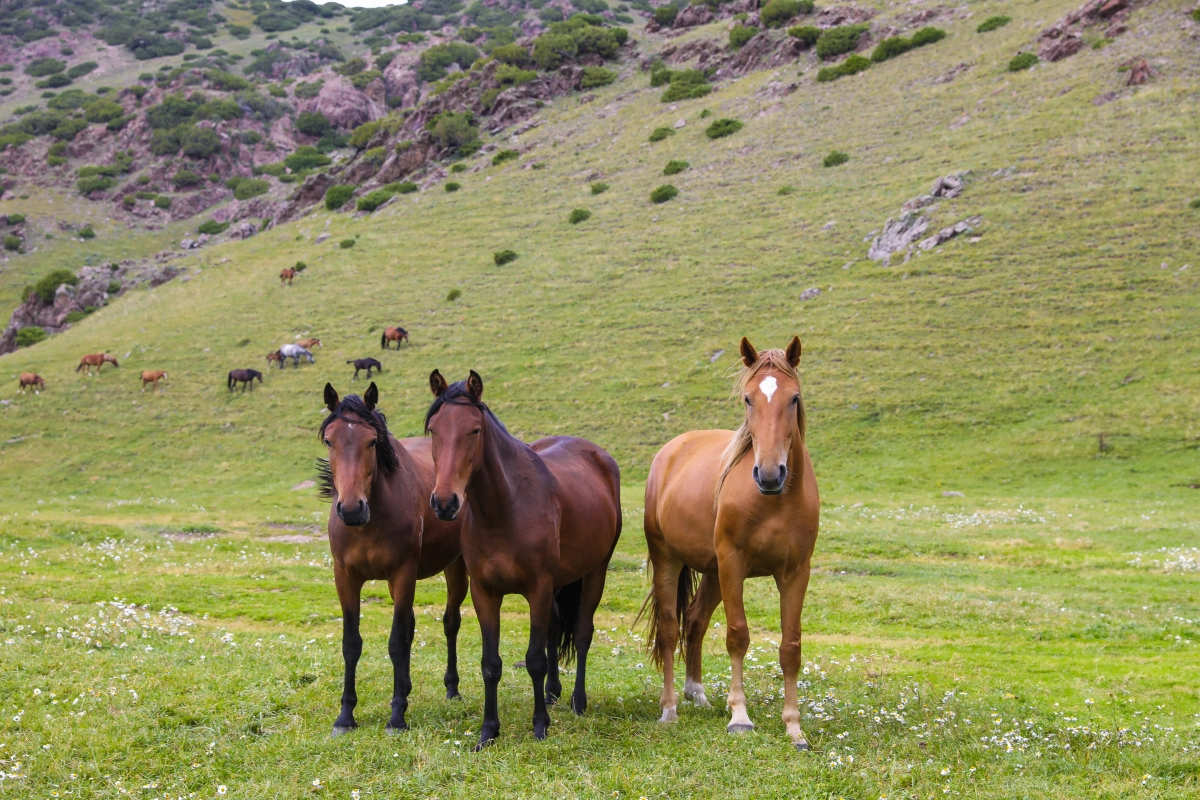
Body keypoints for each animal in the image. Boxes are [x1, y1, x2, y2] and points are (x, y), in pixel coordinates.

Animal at [319, 381, 468, 738]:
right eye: (329, 440)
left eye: (372, 441)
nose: (351, 509)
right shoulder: (345, 577)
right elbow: (351, 643)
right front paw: (345, 716)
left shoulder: (403, 573)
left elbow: (397, 641)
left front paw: (397, 717)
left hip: (457, 568)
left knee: (450, 622)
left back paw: (451, 689)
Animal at [427, 371, 624, 753]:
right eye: (433, 430)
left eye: (475, 430)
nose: (445, 502)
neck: (504, 508)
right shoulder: (485, 593)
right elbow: (491, 664)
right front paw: (489, 731)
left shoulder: (538, 589)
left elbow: (534, 659)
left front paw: (540, 726)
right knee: (555, 629)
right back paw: (552, 693)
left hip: (595, 571)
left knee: (581, 633)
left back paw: (578, 702)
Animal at [643, 335, 820, 753]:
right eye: (748, 399)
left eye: (794, 398)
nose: (770, 474)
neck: (773, 503)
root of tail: (672, 449)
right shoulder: (734, 564)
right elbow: (738, 636)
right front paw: (740, 716)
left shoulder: (795, 572)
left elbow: (791, 647)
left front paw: (794, 728)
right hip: (671, 559)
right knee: (670, 629)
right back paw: (670, 708)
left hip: (712, 571)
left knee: (695, 621)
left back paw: (697, 693)